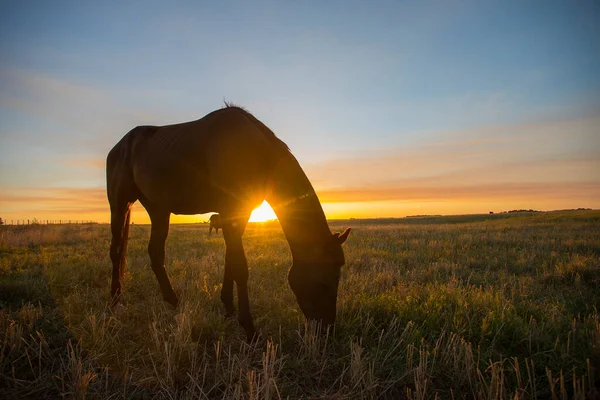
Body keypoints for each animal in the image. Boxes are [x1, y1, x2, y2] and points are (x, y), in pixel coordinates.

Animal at [106, 104, 352, 340]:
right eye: (325, 281)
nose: (326, 330)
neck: (254, 151)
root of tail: (118, 147)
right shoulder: (230, 211)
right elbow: (240, 267)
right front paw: (250, 329)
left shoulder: (239, 214)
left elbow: (230, 261)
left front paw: (228, 307)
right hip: (120, 204)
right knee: (116, 250)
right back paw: (115, 302)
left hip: (158, 209)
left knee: (155, 252)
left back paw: (173, 301)